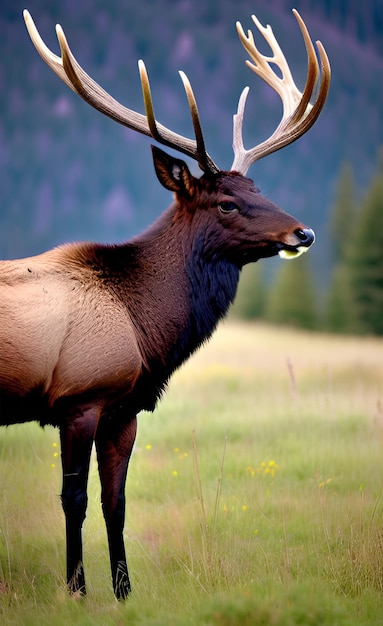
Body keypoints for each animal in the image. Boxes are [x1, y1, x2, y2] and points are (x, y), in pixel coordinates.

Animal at [0, 7, 330, 596]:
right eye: (226, 202)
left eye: (259, 190)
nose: (304, 232)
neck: (146, 329)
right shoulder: (79, 399)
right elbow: (73, 500)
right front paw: (77, 591)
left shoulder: (123, 409)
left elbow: (116, 502)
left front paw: (124, 593)